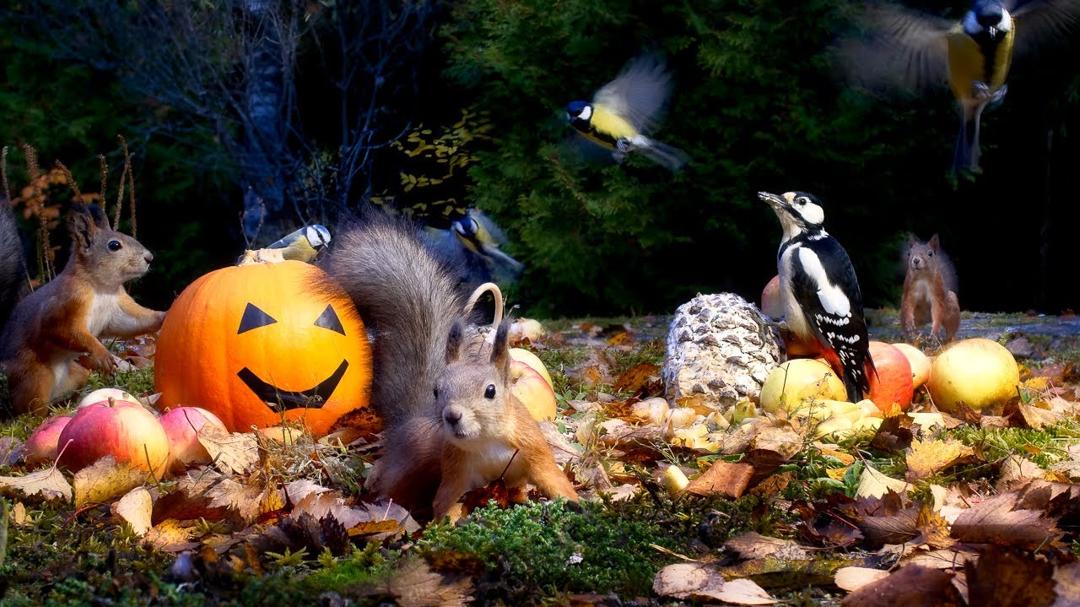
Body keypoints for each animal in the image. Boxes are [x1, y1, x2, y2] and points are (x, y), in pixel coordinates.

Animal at [0, 204, 165, 415]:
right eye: (114, 245)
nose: (149, 258)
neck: (102, 288)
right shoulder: (66, 304)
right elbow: (65, 331)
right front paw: (102, 353)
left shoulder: (118, 307)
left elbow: (133, 323)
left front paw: (164, 315)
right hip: (35, 378)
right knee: (30, 409)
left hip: (78, 374)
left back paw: (73, 400)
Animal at [320, 213, 577, 520]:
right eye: (437, 390)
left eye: (491, 391)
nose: (452, 416)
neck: (485, 441)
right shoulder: (455, 470)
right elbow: (445, 503)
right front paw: (452, 523)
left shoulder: (533, 451)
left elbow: (553, 479)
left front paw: (579, 504)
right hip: (411, 465)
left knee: (516, 490)